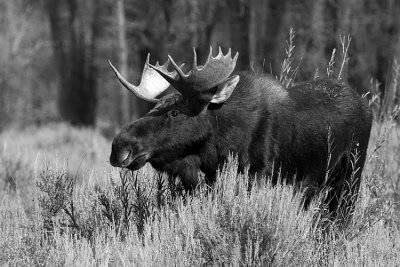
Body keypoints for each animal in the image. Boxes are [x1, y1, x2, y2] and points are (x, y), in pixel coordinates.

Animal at [108, 47, 372, 223]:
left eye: (174, 112)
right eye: (153, 107)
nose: (119, 147)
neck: (222, 145)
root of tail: (366, 106)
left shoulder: (259, 177)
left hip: (350, 176)